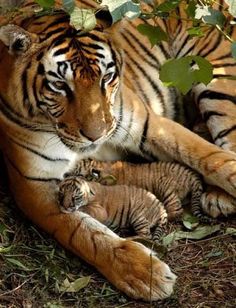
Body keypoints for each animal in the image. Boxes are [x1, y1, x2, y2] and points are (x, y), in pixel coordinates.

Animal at [0, 0, 236, 302]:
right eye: (60, 85)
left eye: (107, 77)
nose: (97, 135)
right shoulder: (34, 186)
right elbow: (85, 235)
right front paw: (145, 274)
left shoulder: (153, 126)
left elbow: (213, 160)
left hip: (216, 78)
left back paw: (219, 196)